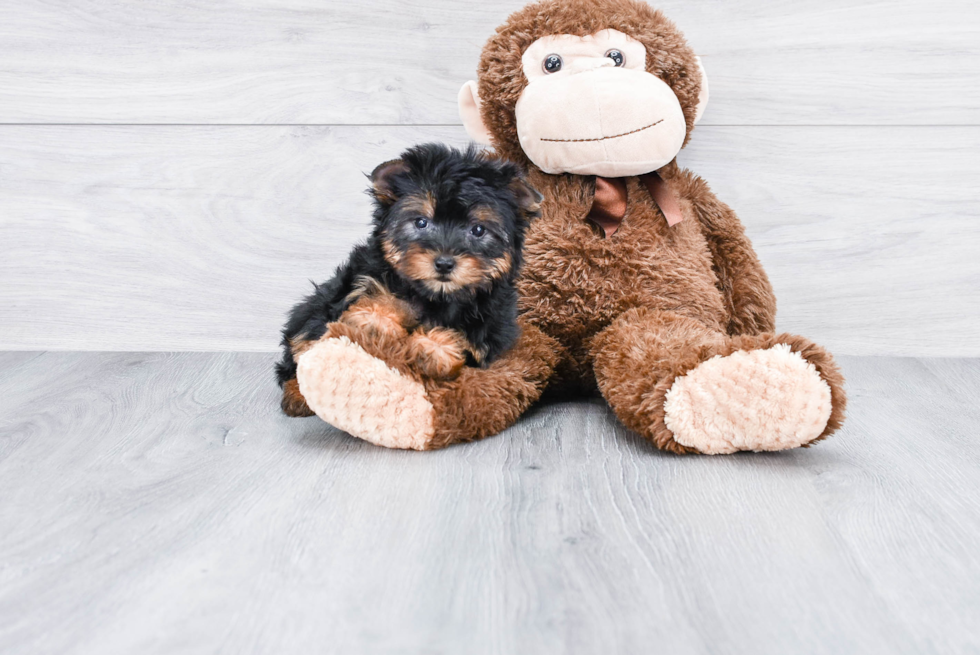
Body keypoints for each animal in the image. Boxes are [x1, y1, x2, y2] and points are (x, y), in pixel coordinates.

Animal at [274, 146, 544, 418]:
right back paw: (298, 394)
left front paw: (434, 346)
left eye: (478, 230)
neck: (436, 296)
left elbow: (464, 339)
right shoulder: (361, 280)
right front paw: (376, 320)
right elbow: (378, 298)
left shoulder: (490, 332)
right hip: (315, 308)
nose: (444, 263)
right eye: (421, 222)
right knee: (302, 344)